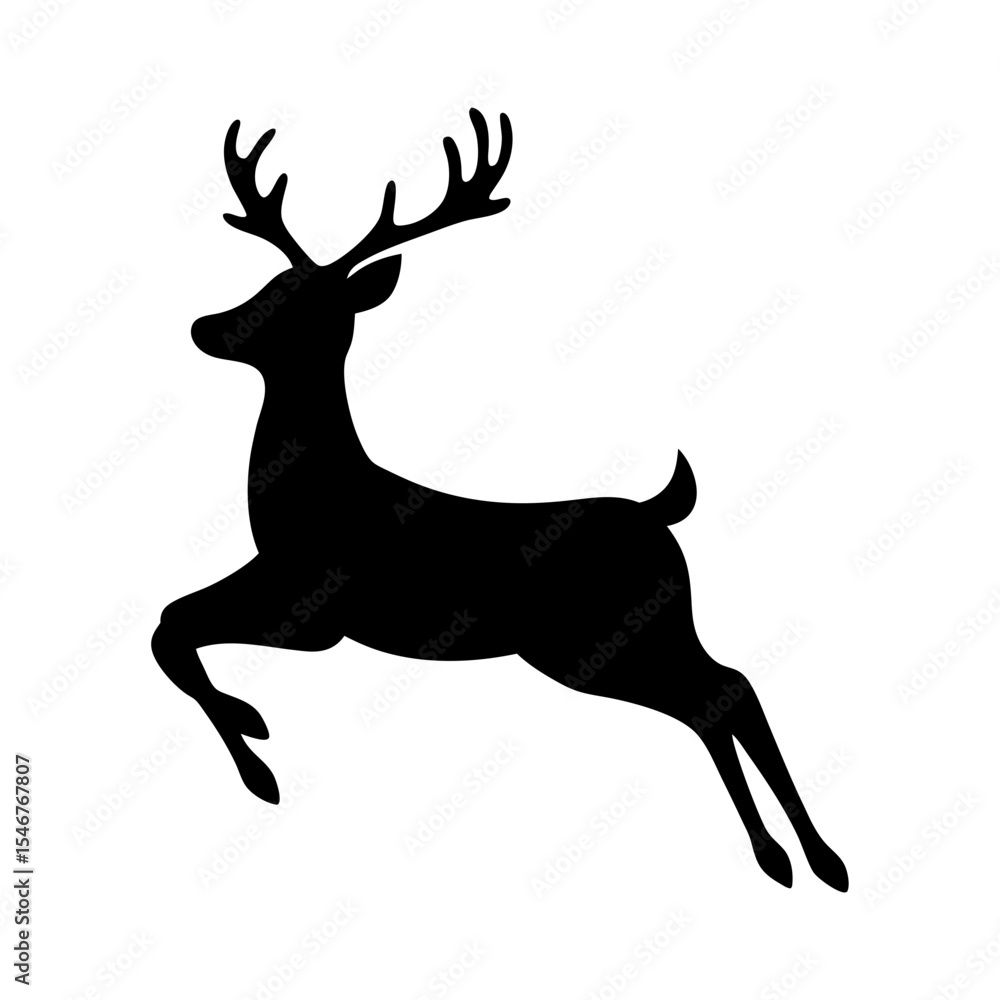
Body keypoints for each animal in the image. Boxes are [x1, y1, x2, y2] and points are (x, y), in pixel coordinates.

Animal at [152, 109, 848, 891]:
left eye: (301, 304)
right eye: (270, 280)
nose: (206, 326)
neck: (306, 497)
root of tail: (656, 512)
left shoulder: (313, 604)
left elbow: (172, 627)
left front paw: (258, 762)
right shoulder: (276, 579)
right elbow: (171, 623)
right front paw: (252, 725)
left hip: (594, 640)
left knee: (719, 694)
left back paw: (797, 857)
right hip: (643, 632)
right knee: (727, 688)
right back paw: (809, 857)